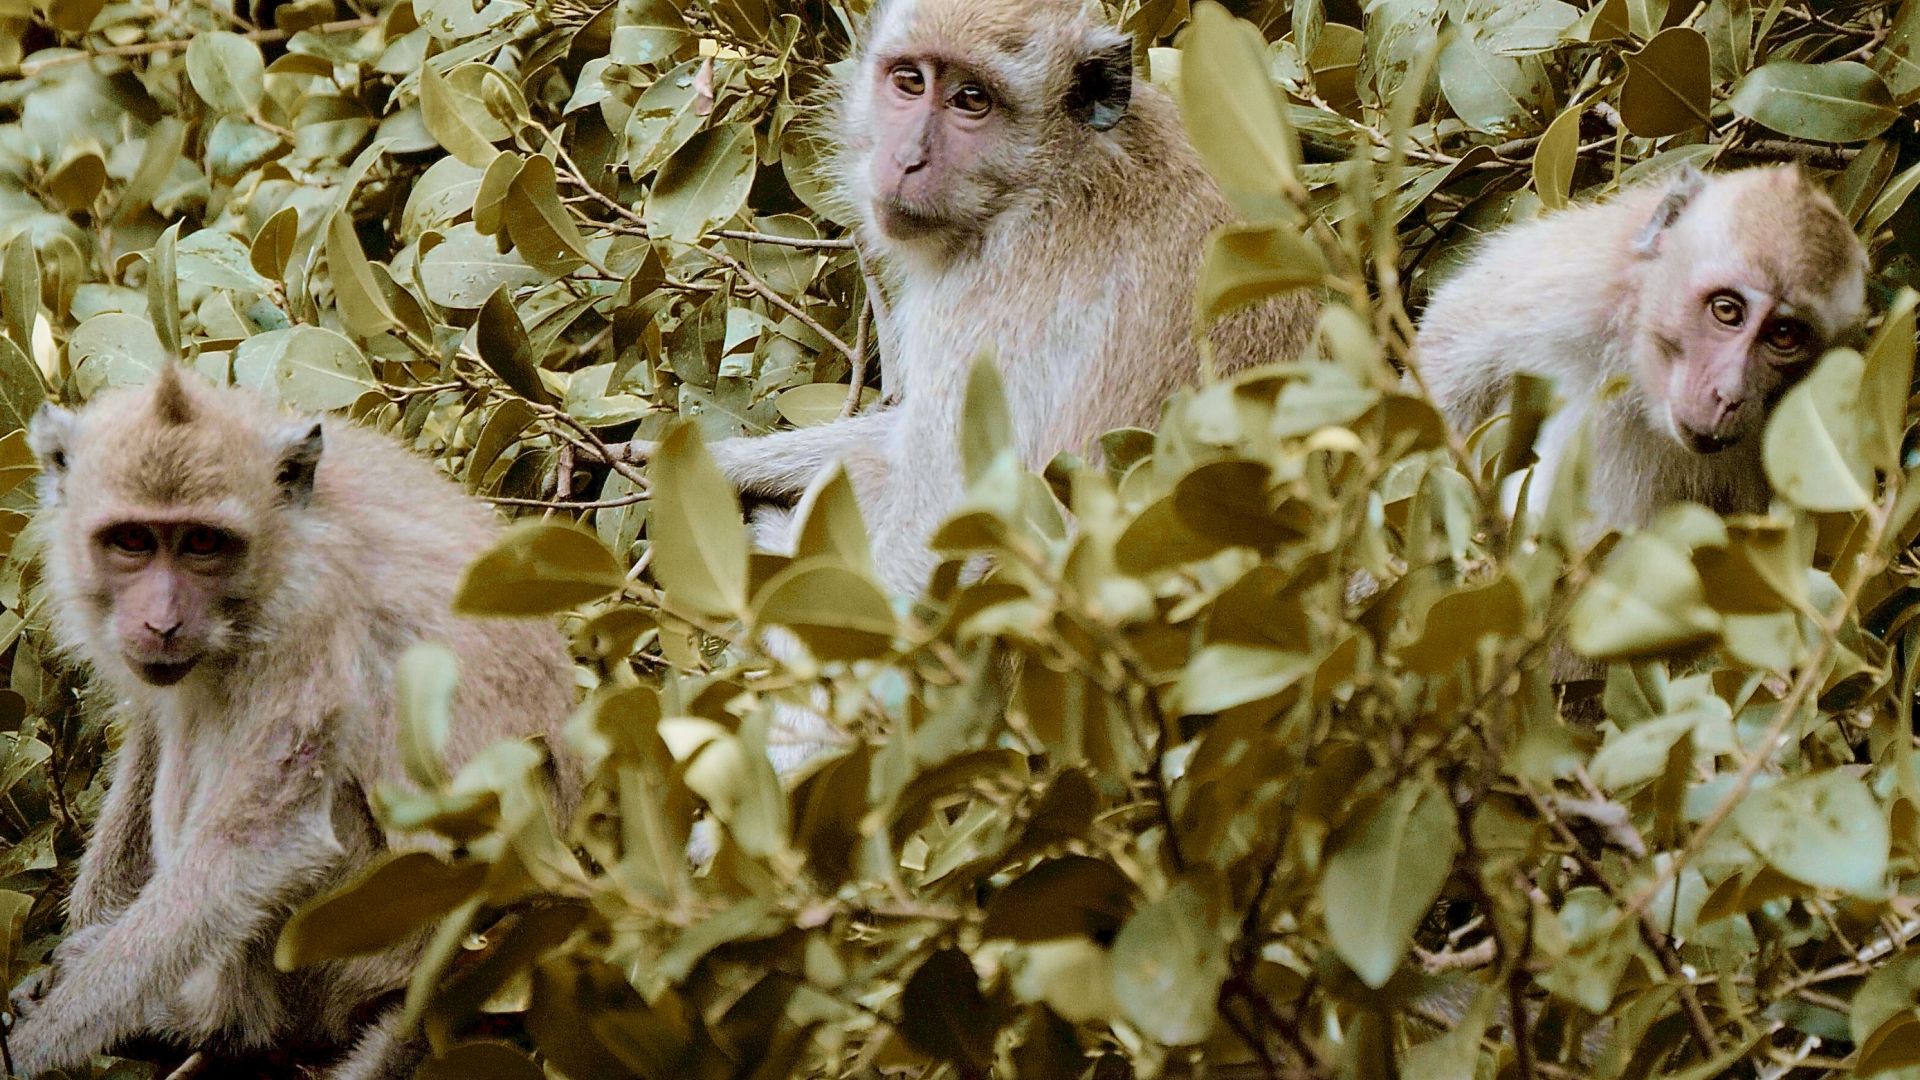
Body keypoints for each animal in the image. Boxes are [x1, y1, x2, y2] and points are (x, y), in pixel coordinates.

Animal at [5, 363, 576, 1076]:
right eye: (132, 540)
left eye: (202, 542)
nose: (162, 622)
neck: (286, 537)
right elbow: (156, 727)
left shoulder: (306, 622)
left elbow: (265, 842)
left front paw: (35, 1042)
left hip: (362, 934)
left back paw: (218, 1021)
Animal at [1420, 164, 1866, 530]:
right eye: (1726, 310)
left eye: (1784, 335)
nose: (1730, 394)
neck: (1641, 388)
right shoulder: (1570, 281)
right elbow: (1450, 346)